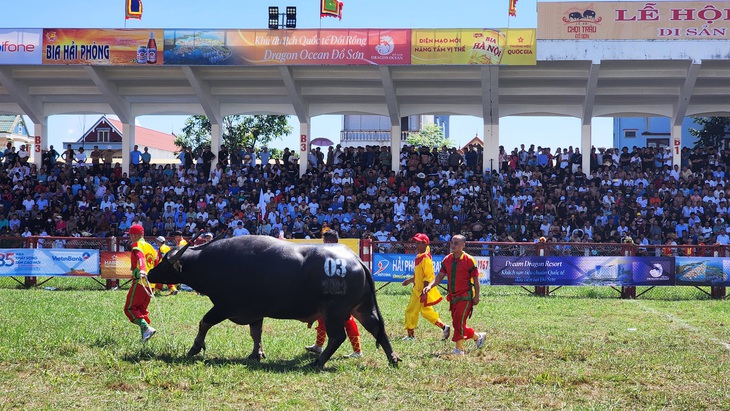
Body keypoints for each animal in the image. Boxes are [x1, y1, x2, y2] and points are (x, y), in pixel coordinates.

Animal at [146, 237, 398, 368]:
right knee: (378, 329)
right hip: (362, 308)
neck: (209, 263)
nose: (149, 274)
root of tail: (356, 259)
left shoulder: (225, 306)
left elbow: (204, 322)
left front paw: (195, 347)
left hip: (334, 312)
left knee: (338, 337)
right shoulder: (255, 311)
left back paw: (317, 362)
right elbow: (255, 333)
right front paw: (257, 353)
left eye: (165, 263)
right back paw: (393, 358)